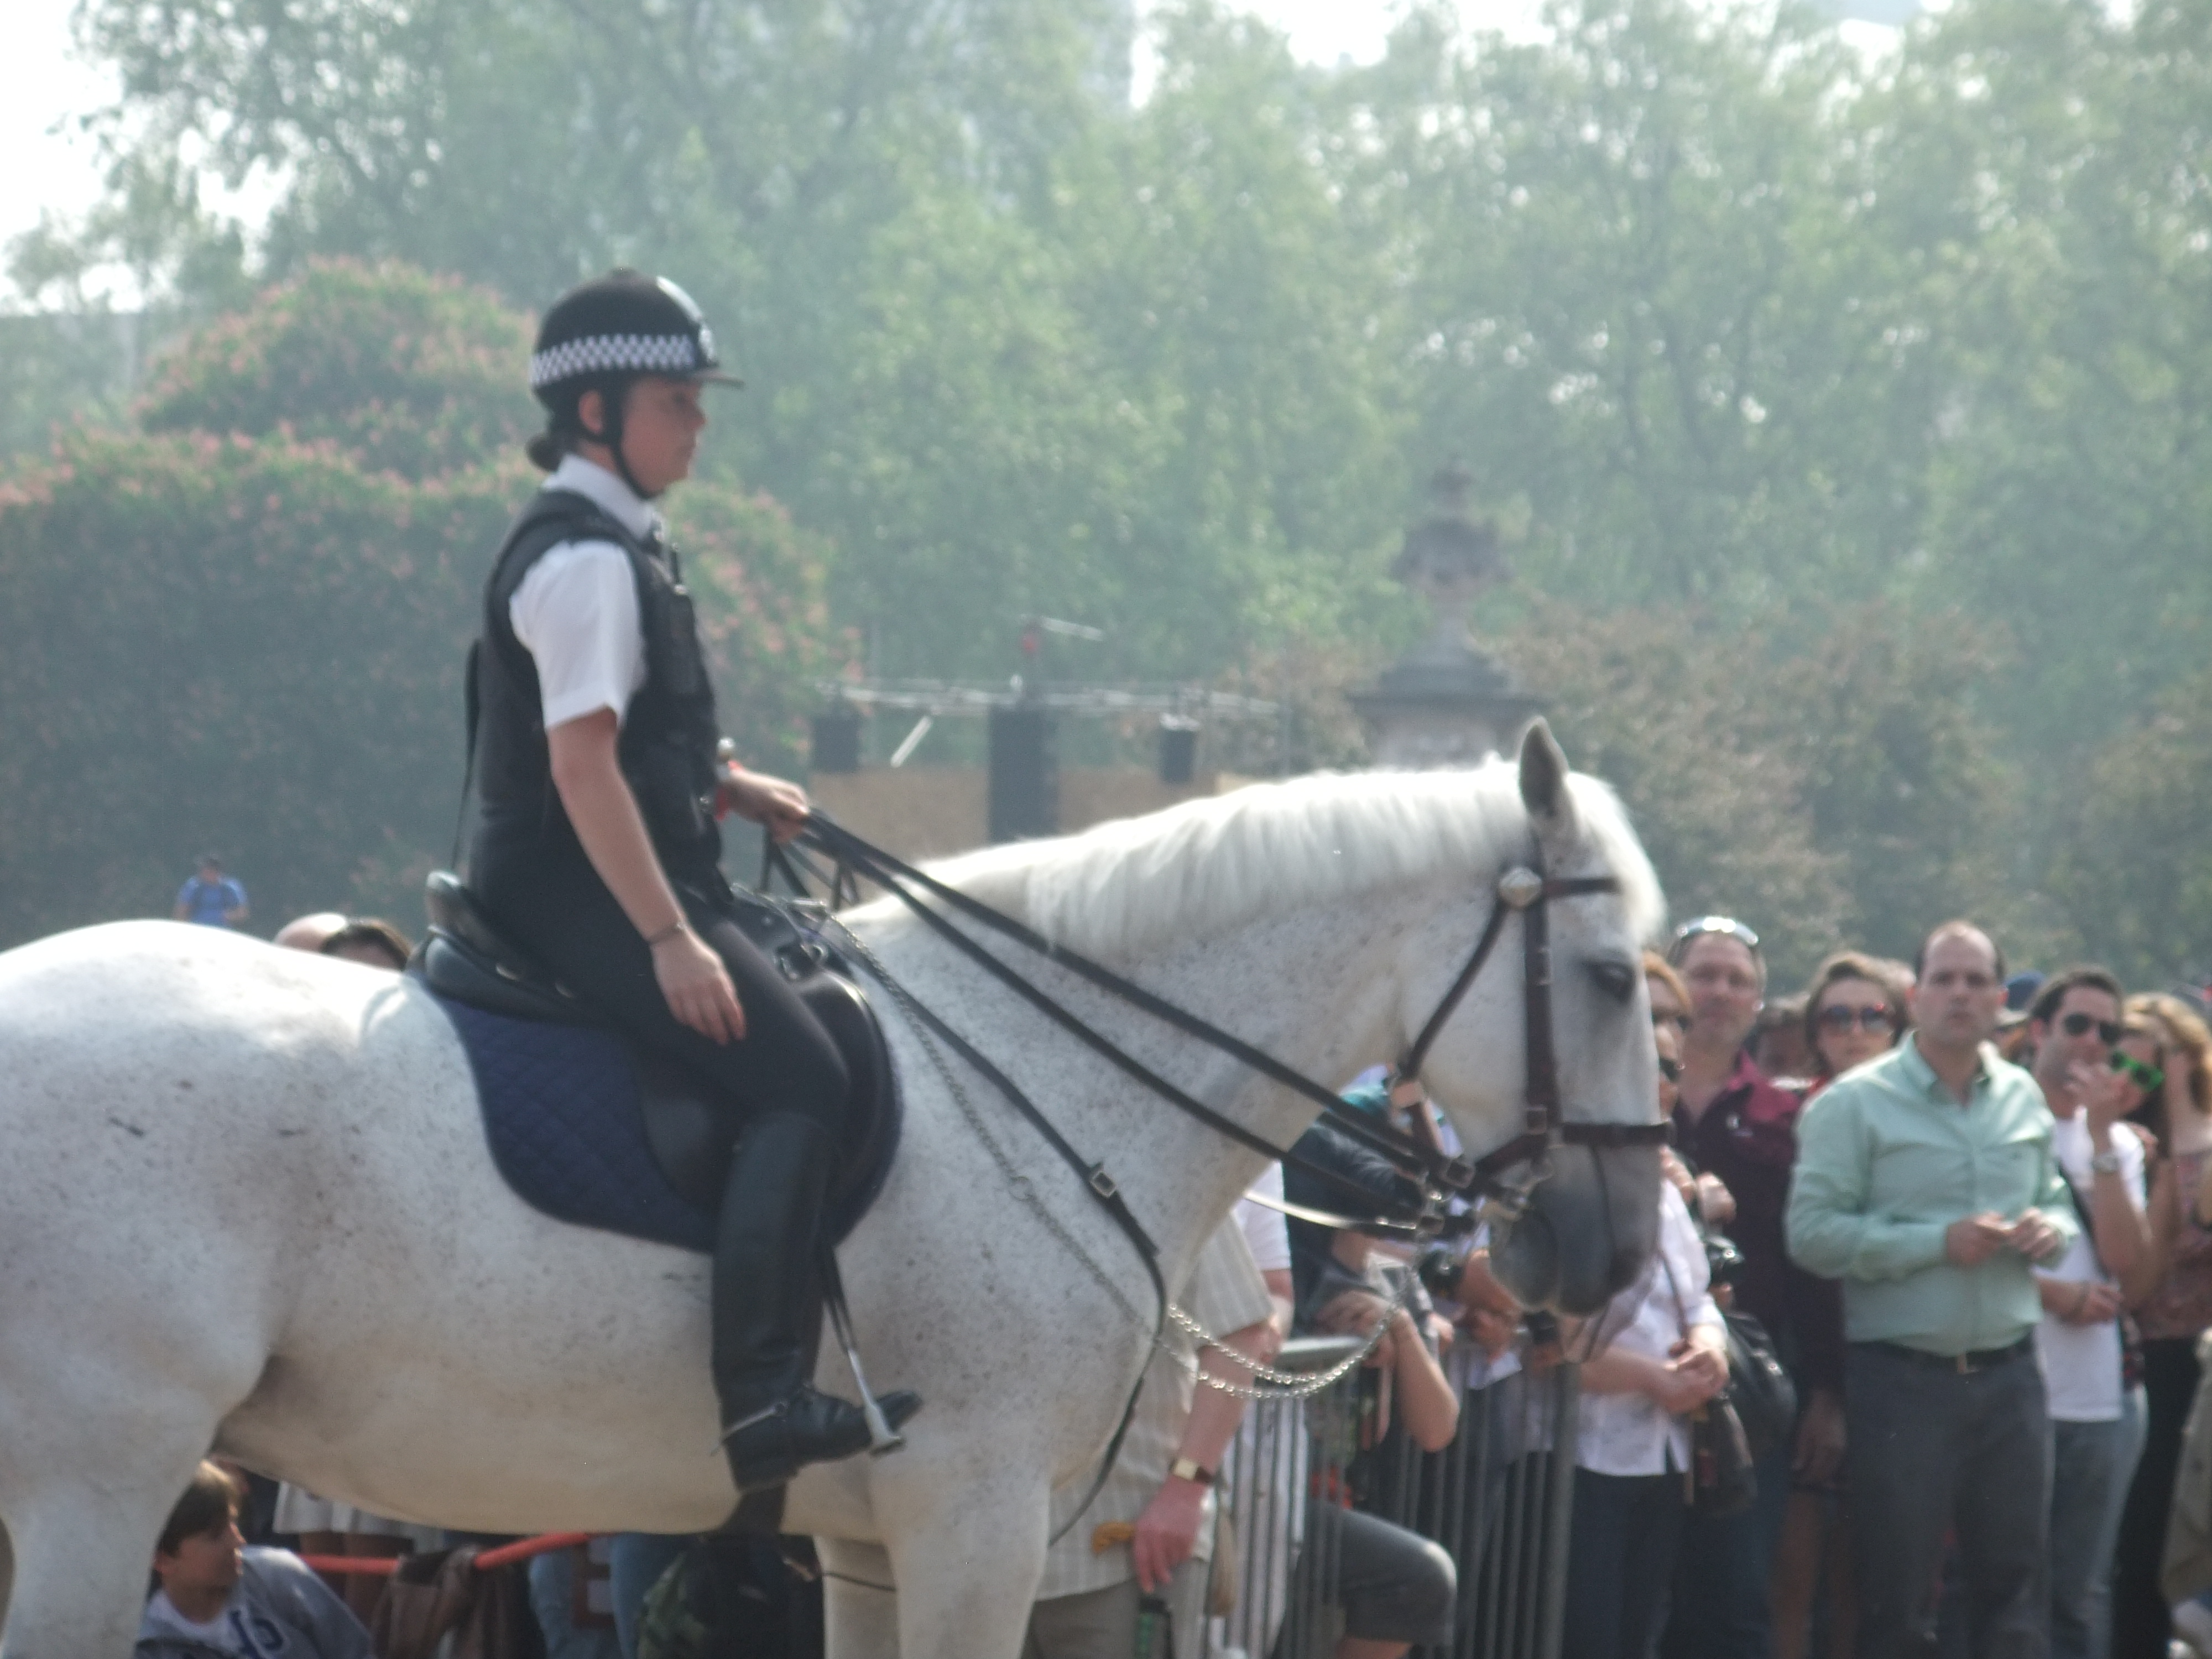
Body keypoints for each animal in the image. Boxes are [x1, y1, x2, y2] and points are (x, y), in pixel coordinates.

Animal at [0, 723, 1664, 1658]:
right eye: (1601, 976)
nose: (1612, 1255)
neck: (1045, 1066)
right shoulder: (976, 1522)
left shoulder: (875, 1543)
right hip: (98, 1480)